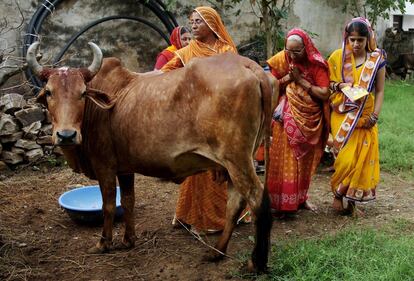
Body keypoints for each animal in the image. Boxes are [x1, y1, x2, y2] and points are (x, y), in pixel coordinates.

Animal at [25, 41, 278, 272]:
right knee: (235, 203)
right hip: (235, 161)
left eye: (83, 93)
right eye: (49, 92)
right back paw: (217, 252)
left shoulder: (104, 166)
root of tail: (249, 65)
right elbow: (128, 201)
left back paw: (255, 263)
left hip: (237, 159)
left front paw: (103, 243)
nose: (66, 135)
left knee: (257, 200)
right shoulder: (125, 168)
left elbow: (109, 205)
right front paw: (128, 239)